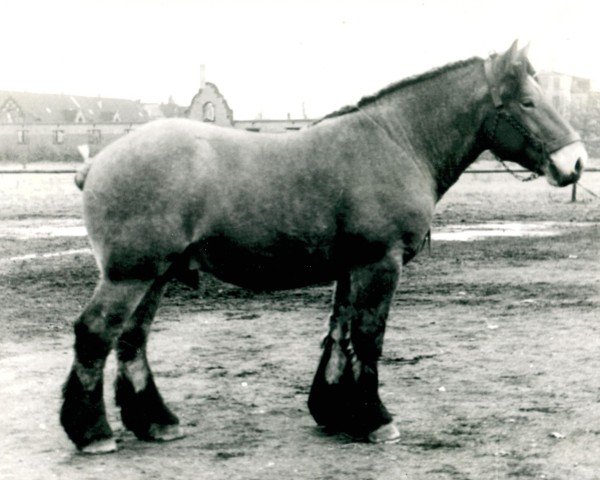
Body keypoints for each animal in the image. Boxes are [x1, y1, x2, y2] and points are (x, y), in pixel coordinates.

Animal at [61, 42, 584, 454]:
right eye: (528, 102)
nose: (575, 162)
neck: (397, 142)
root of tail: (98, 162)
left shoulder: (351, 268)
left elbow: (339, 333)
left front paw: (334, 411)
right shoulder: (379, 263)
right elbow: (369, 338)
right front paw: (374, 418)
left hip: (156, 275)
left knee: (132, 341)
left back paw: (155, 422)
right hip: (131, 274)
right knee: (96, 334)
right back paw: (92, 432)